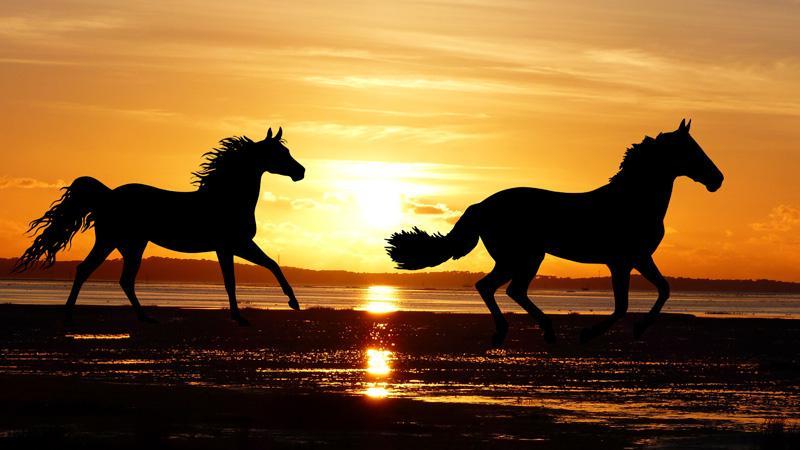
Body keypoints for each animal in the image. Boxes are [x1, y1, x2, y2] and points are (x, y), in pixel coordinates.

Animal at [14, 127, 305, 325]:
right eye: (279, 153)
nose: (300, 172)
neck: (226, 198)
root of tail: (107, 196)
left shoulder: (238, 245)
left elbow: (271, 265)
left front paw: (293, 302)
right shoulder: (230, 246)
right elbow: (232, 280)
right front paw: (242, 316)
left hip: (127, 245)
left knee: (116, 277)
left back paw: (139, 316)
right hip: (115, 242)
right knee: (94, 272)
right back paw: (72, 315)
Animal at [387, 120, 723, 346]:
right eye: (692, 150)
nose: (717, 179)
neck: (631, 201)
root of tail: (483, 205)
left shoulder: (639, 259)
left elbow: (664, 289)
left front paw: (638, 329)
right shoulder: (621, 262)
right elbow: (622, 305)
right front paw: (589, 333)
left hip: (518, 258)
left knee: (498, 288)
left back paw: (522, 331)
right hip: (523, 257)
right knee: (502, 288)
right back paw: (535, 331)